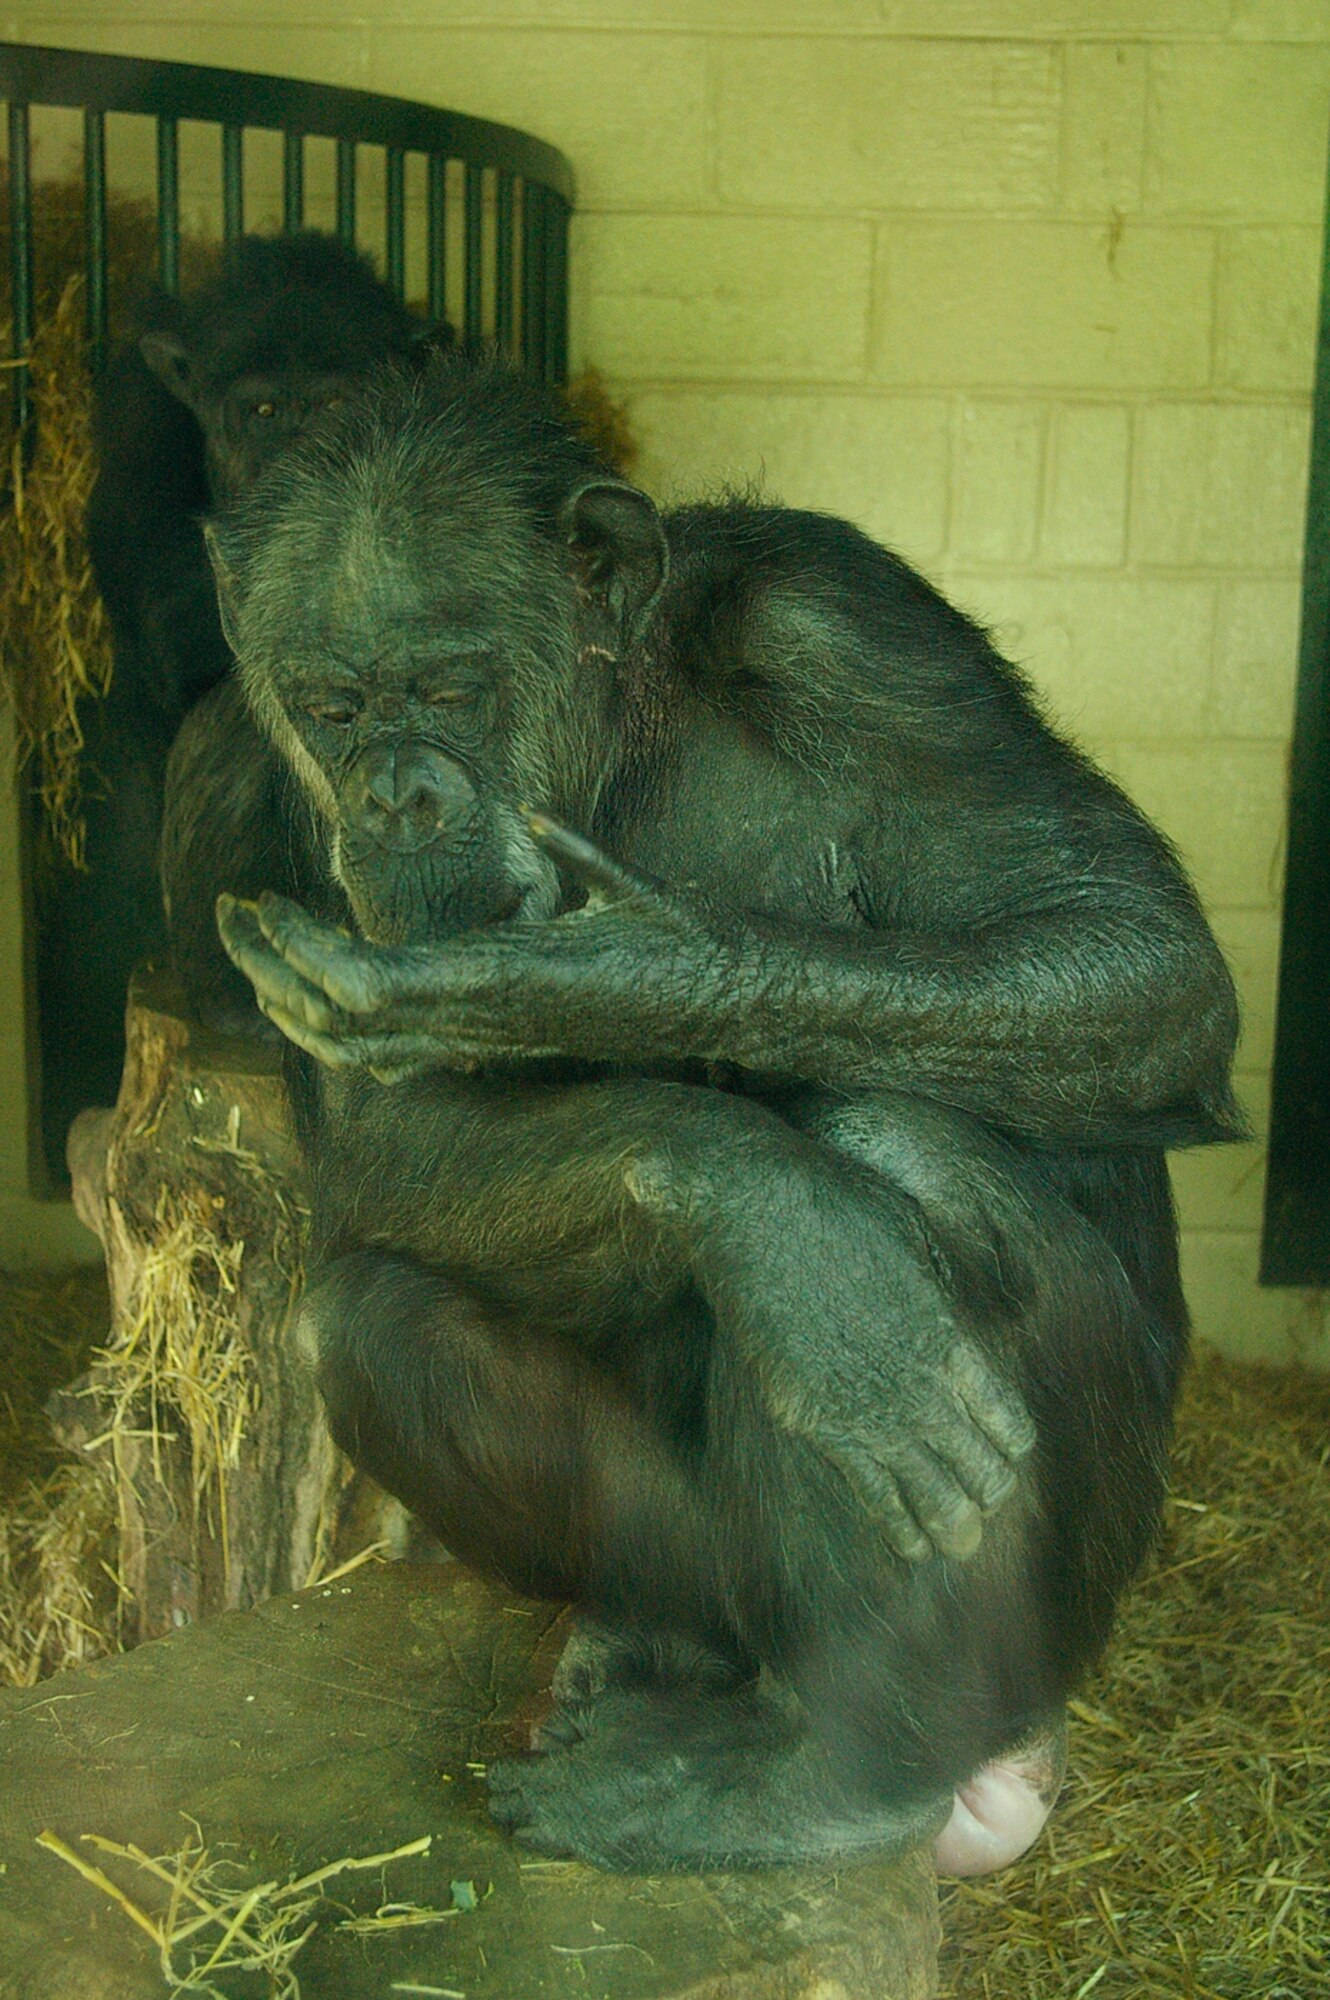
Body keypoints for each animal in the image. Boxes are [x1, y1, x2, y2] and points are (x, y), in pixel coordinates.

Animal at [171, 360, 1240, 1872]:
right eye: (331, 707)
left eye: (449, 687)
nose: (393, 792)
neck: (612, 730)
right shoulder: (252, 793)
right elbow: (390, 1145)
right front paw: (764, 1211)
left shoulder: (846, 629)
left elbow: (1125, 945)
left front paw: (620, 974)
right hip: (720, 1579)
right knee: (367, 1325)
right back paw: (655, 1654)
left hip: (1066, 1610)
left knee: (904, 1146)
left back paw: (836, 1769)